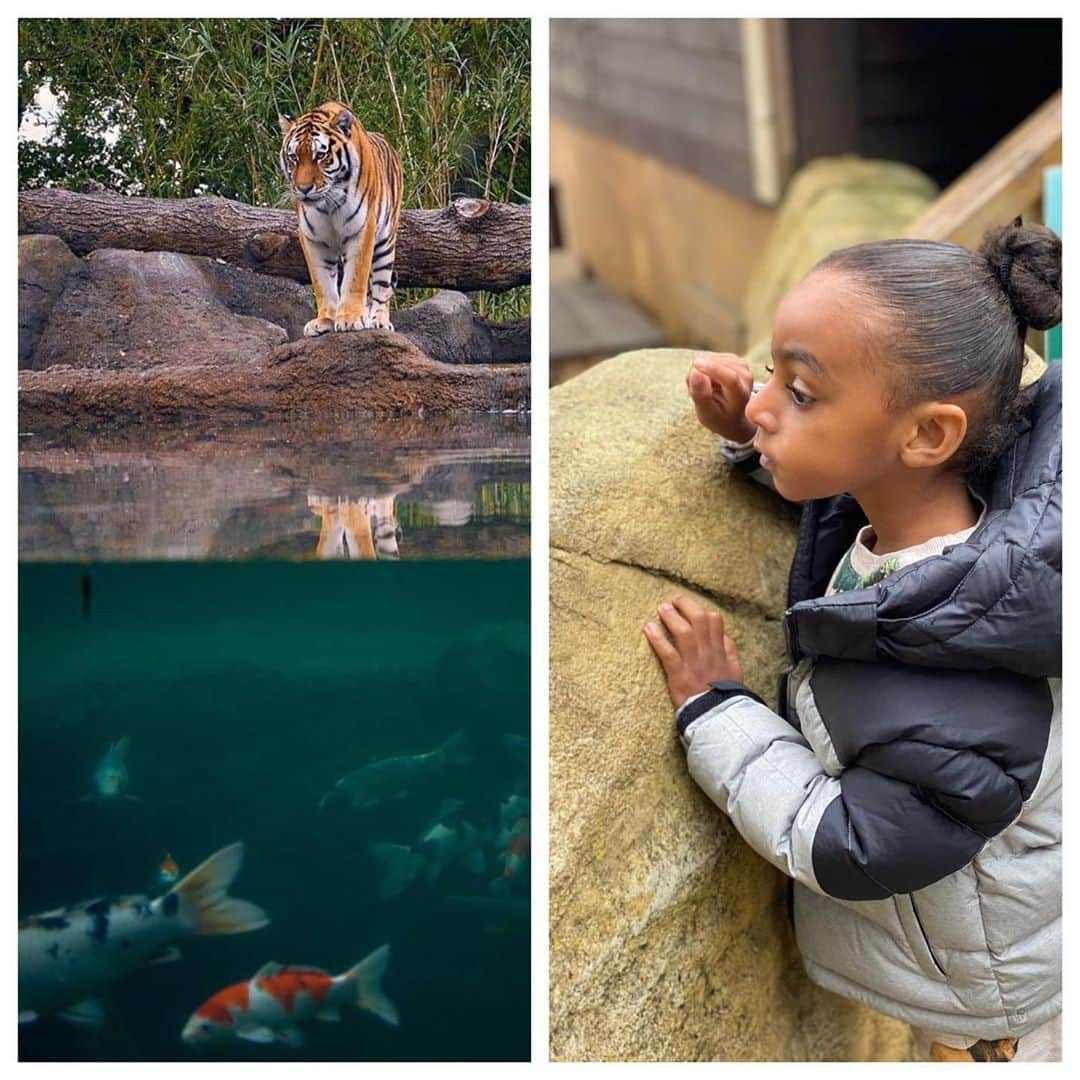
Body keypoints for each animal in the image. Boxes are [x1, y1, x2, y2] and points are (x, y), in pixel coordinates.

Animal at [278, 102, 406, 336]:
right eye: (293, 158)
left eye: (320, 156)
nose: (303, 188)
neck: (327, 204)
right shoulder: (313, 239)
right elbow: (322, 284)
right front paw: (325, 320)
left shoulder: (362, 230)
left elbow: (355, 279)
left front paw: (350, 319)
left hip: (385, 242)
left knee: (381, 288)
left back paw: (378, 320)